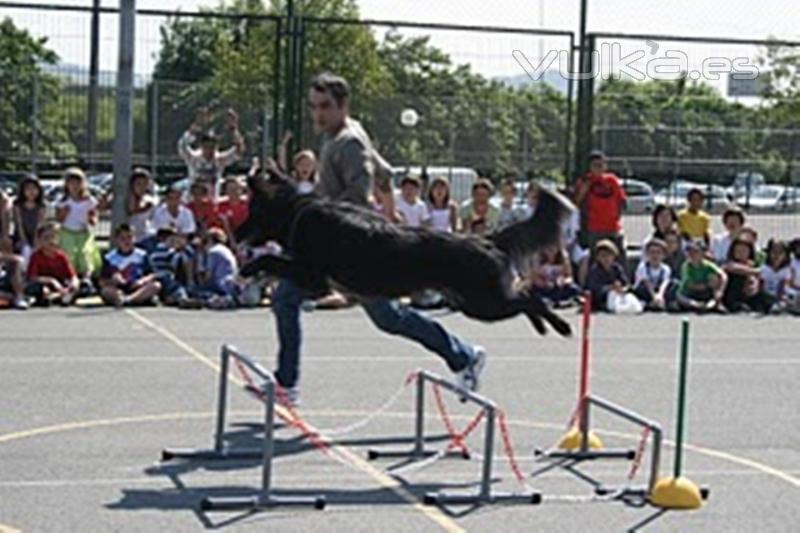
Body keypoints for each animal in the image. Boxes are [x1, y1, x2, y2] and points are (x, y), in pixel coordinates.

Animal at [236, 167, 576, 336]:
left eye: (252, 209)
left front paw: (248, 270)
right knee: (527, 296)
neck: (299, 211)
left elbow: (270, 258)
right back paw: (545, 326)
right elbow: (273, 260)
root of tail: (487, 240)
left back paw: (561, 326)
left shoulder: (313, 277)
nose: (236, 232)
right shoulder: (312, 278)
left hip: (485, 303)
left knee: (529, 298)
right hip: (475, 303)